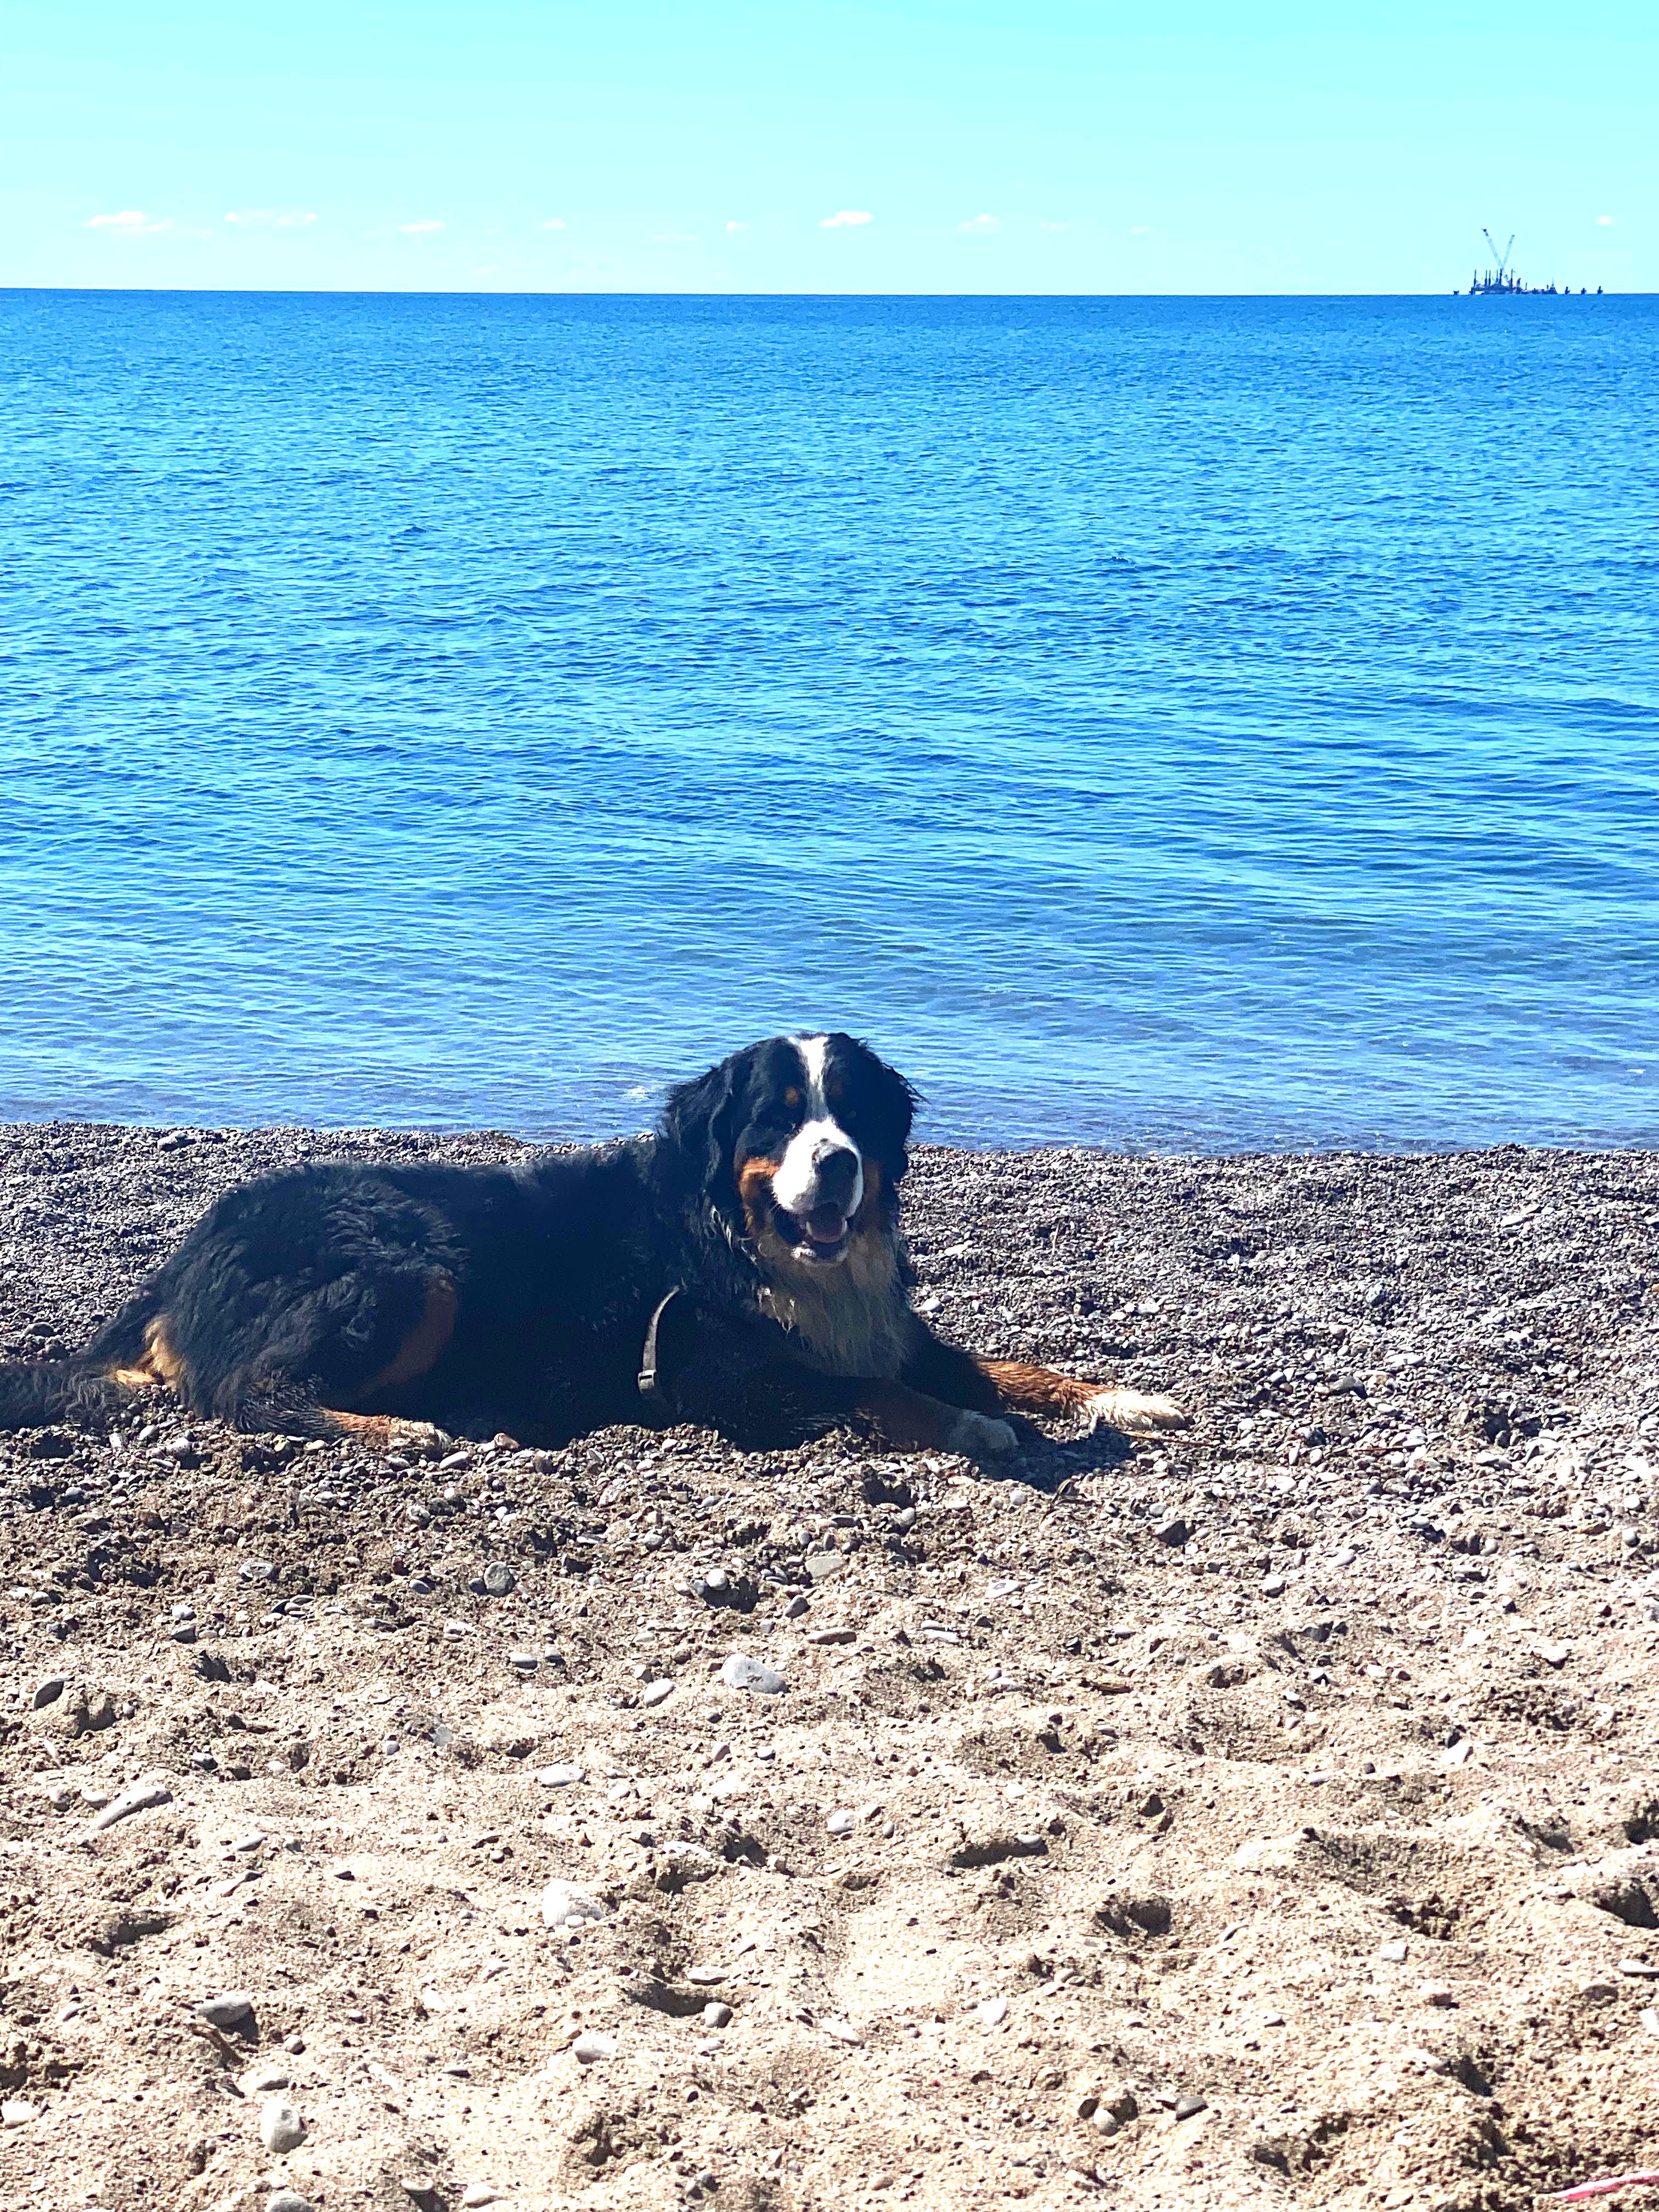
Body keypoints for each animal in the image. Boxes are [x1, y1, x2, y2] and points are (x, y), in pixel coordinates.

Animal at [3, 1040, 1194, 1460]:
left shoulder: (884, 1325)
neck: (748, 1246)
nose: (840, 1164)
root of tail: (192, 1243)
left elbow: (1006, 1362)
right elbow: (879, 1394)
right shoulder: (723, 1371)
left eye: (853, 1112)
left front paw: (1121, 1396)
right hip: (409, 1264)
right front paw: (972, 1427)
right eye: (776, 1120)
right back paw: (406, 1430)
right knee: (251, 1390)